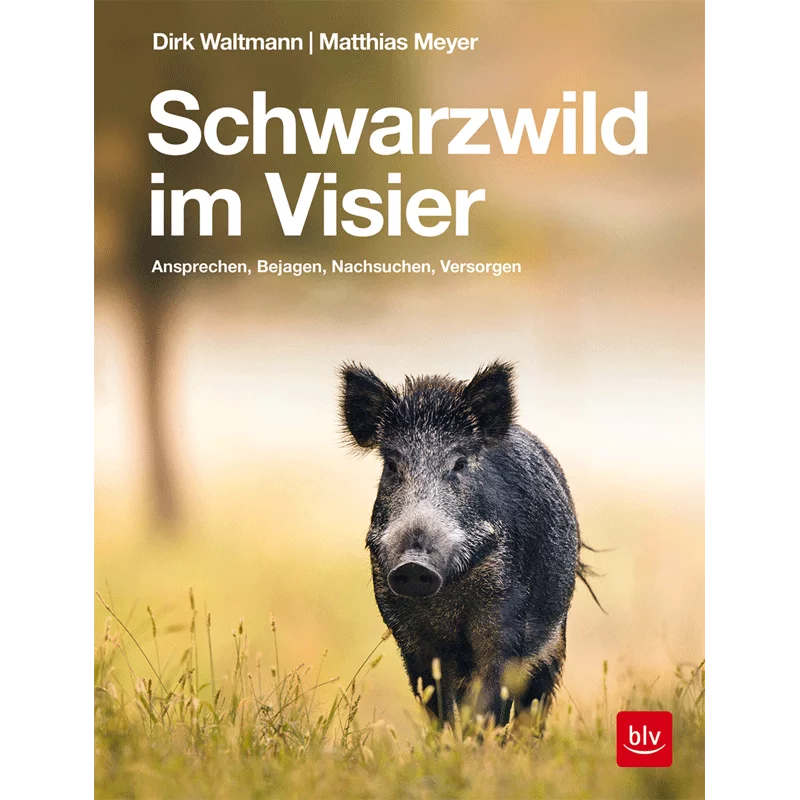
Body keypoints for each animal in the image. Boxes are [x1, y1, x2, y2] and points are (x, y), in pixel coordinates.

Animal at [339, 360, 599, 726]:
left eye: (459, 463)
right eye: (391, 465)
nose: (414, 565)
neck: (448, 594)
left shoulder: (506, 617)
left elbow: (492, 700)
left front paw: (481, 737)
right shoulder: (408, 634)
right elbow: (437, 703)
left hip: (553, 642)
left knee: (534, 705)